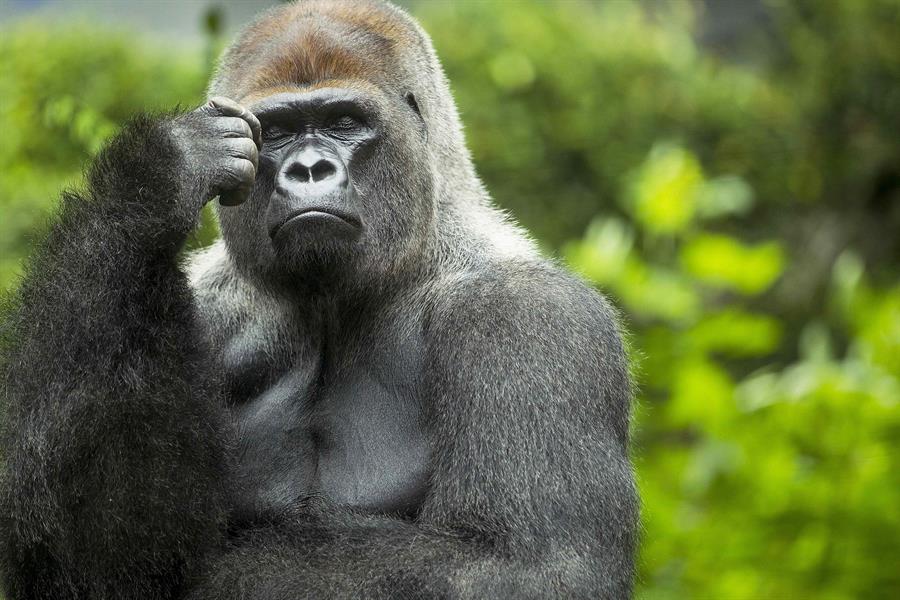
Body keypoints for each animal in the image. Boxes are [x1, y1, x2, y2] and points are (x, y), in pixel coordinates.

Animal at [0, 2, 632, 596]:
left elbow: (533, 567)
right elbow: (88, 559)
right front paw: (154, 178)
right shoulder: (205, 307)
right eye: (277, 131)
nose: (308, 169)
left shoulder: (531, 321)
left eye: (344, 121)